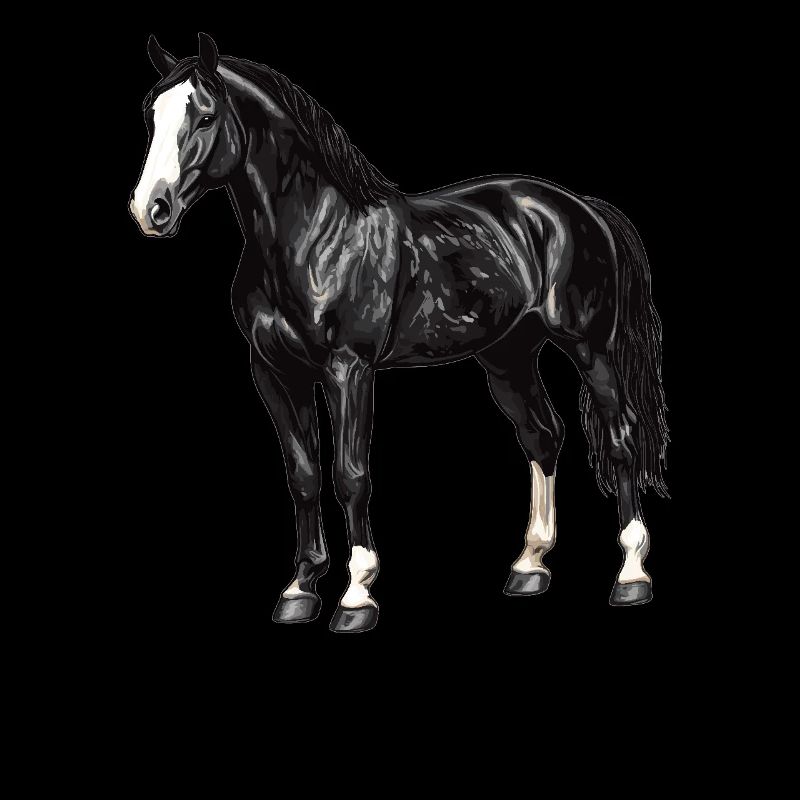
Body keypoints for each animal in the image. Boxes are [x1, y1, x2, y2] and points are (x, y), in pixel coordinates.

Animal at [130, 33, 668, 632]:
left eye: (204, 115)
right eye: (152, 115)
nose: (151, 209)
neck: (315, 235)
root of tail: (579, 208)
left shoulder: (349, 370)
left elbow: (350, 475)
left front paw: (356, 595)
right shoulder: (274, 374)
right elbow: (303, 475)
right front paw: (299, 590)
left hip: (592, 349)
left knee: (620, 439)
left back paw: (631, 575)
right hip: (508, 357)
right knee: (543, 435)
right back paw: (529, 566)